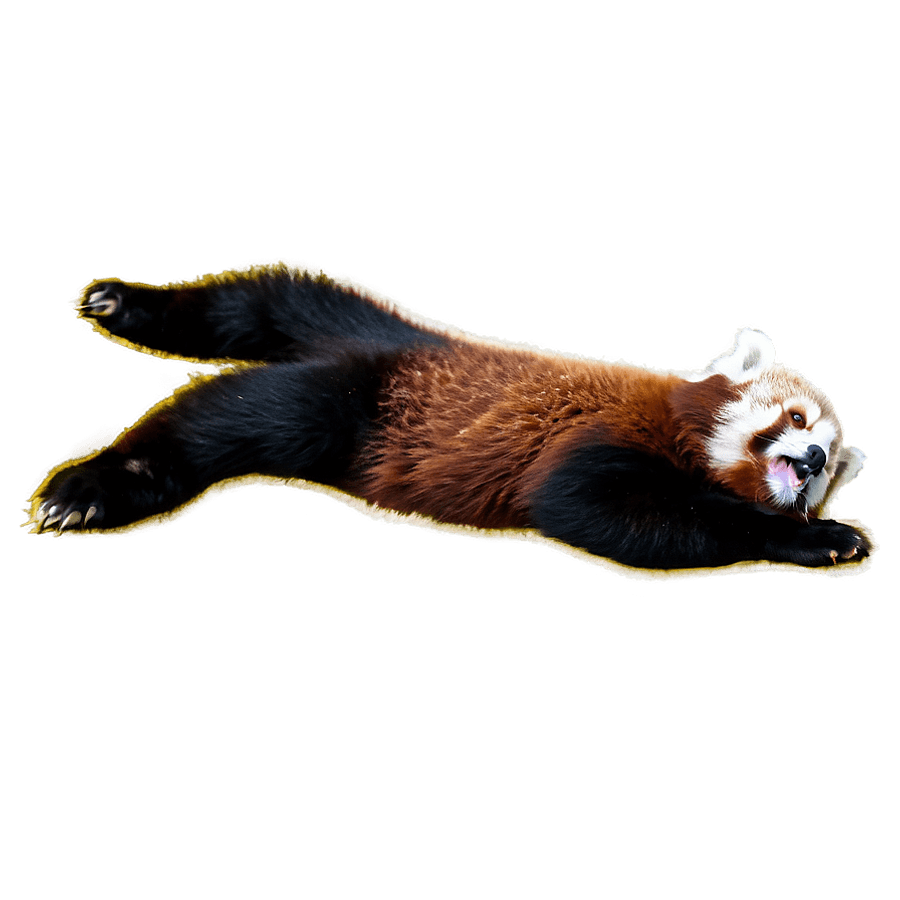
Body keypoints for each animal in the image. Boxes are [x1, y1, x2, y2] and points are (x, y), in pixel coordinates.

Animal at [25, 259, 874, 574]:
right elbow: (601, 507)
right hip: (344, 404)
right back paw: (96, 474)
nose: (810, 464)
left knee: (247, 305)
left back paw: (131, 308)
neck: (680, 433)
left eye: (826, 464)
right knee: (227, 412)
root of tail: (374, 344)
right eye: (796, 419)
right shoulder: (592, 443)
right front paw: (820, 540)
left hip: (332, 326)